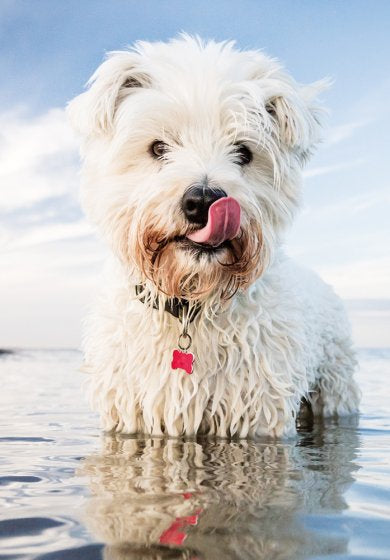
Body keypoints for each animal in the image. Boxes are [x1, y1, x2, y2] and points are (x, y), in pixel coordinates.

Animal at [68, 35, 362, 440]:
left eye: (243, 152)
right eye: (158, 147)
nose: (204, 200)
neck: (191, 302)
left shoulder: (256, 412)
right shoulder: (132, 411)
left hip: (335, 387)